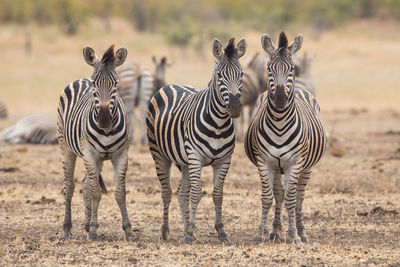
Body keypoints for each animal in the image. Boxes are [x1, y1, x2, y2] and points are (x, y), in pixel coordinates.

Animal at [57, 45, 134, 242]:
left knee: (85, 184)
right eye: (94, 84)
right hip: (66, 147)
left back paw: (85, 223)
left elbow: (120, 192)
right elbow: (96, 192)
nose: (105, 119)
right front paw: (93, 230)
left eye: (116, 84)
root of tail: (81, 79)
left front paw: (128, 229)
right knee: (69, 187)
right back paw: (67, 227)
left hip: (96, 158)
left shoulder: (121, 155)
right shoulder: (90, 153)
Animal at [147, 38, 247, 245]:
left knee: (181, 192)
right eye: (219, 75)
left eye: (241, 74)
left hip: (183, 161)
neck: (218, 123)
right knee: (167, 191)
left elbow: (217, 194)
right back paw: (166, 231)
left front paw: (221, 232)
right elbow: (196, 193)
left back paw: (186, 228)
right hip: (159, 154)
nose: (235, 108)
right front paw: (190, 232)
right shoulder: (195, 157)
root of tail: (170, 85)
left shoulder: (224, 160)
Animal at [245, 32, 326, 244]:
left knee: (299, 197)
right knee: (279, 194)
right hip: (276, 167)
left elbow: (292, 199)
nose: (280, 98)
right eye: (268, 68)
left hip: (306, 167)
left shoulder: (295, 163)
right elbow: (267, 197)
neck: (280, 124)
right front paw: (260, 234)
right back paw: (275, 231)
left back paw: (301, 232)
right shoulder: (265, 163)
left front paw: (295, 235)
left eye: (291, 69)